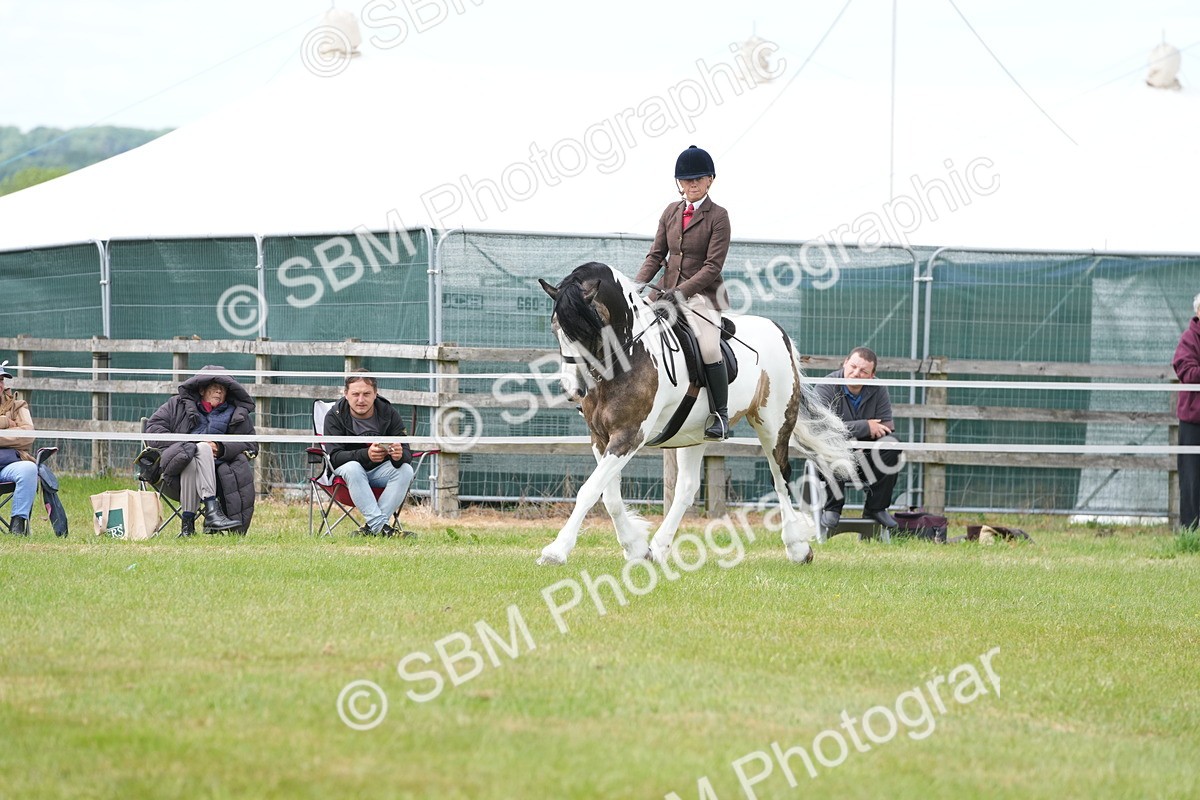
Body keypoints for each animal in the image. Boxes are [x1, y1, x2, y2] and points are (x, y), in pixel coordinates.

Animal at [535, 261, 855, 566]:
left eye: (588, 330)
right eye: (555, 330)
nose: (574, 390)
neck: (629, 356)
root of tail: (779, 331)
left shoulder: (629, 436)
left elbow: (589, 491)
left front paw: (555, 551)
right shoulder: (600, 438)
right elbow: (609, 495)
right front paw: (636, 547)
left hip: (773, 425)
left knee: (780, 478)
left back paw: (798, 548)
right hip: (693, 433)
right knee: (687, 489)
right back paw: (659, 548)